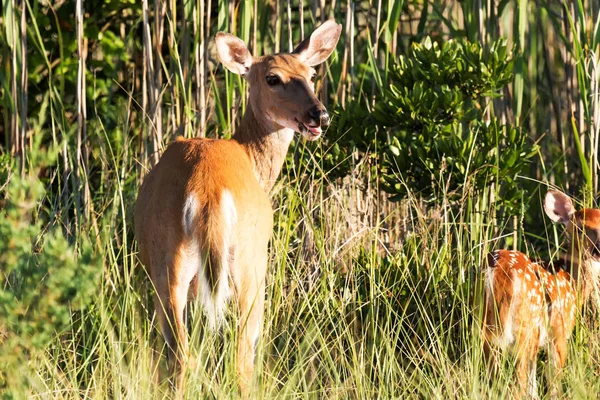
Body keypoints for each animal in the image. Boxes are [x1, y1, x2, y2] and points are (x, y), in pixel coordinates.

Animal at [135, 20, 342, 396]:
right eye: (273, 78)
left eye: (311, 74)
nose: (319, 115)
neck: (250, 155)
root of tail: (207, 189)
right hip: (250, 262)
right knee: (241, 355)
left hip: (167, 262)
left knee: (181, 355)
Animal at [482, 190, 600, 396]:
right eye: (580, 229)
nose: (598, 249)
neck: (572, 282)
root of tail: (502, 271)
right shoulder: (560, 331)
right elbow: (553, 382)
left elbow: (534, 385)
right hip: (525, 327)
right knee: (518, 385)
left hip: (486, 324)